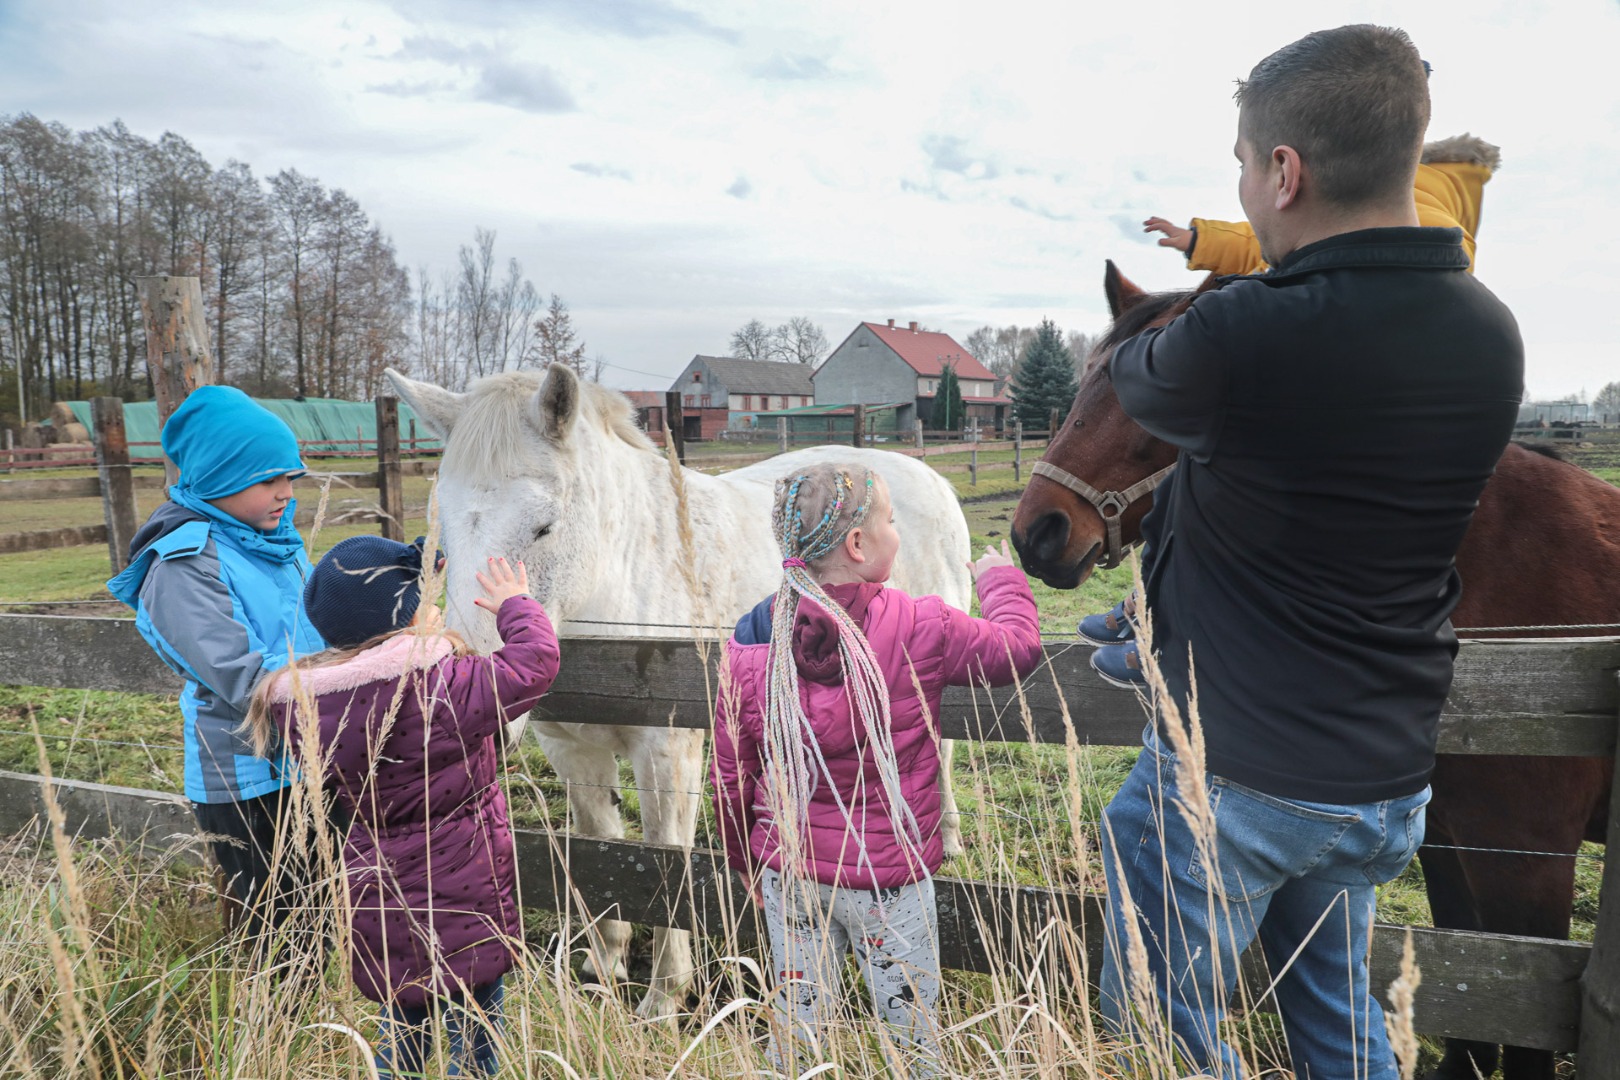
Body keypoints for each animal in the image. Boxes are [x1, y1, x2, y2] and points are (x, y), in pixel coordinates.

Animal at [388, 365, 972, 1023]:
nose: (456, 705)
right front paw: (606, 966)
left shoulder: (667, 752)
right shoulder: (573, 751)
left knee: (938, 754)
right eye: (441, 539)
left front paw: (664, 997)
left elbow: (665, 864)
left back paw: (943, 842)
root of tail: (925, 476)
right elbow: (602, 849)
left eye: (544, 526)